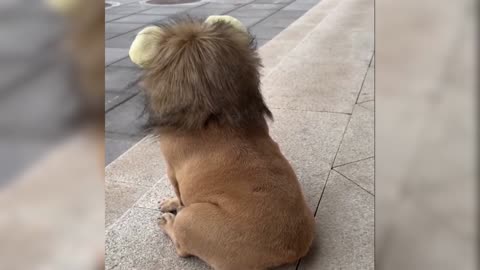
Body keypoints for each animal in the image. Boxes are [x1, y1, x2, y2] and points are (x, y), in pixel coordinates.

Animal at [129, 15, 316, 268]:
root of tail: (289, 252)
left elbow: (180, 195)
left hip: (192, 219)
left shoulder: (172, 171)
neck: (217, 115)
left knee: (182, 245)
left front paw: (172, 203)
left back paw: (168, 223)